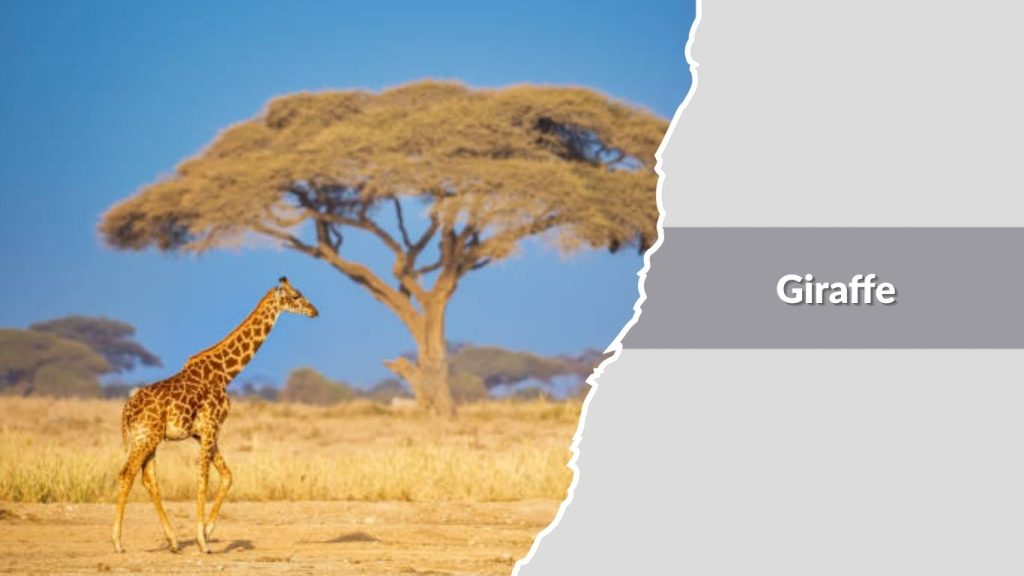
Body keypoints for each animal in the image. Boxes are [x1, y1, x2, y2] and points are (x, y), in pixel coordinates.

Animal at [111, 276, 318, 554]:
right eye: (296, 295)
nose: (314, 311)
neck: (224, 374)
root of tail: (126, 411)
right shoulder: (211, 427)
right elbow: (203, 481)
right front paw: (202, 541)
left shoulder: (204, 433)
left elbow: (227, 476)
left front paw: (207, 532)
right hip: (146, 438)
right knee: (127, 474)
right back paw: (118, 542)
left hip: (149, 439)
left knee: (148, 478)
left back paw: (173, 540)